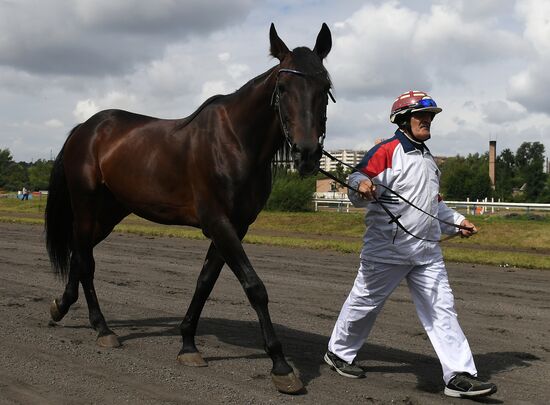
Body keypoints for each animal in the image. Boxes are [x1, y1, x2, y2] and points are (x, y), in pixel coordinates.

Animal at [45, 23, 332, 392]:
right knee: (84, 259)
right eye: (282, 88)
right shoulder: (218, 223)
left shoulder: (235, 227)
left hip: (110, 212)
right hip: (85, 206)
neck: (235, 141)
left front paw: (188, 343)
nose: (307, 152)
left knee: (80, 256)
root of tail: (85, 128)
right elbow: (254, 287)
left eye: (325, 86)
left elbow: (204, 282)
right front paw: (281, 365)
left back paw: (62, 306)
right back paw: (102, 328)